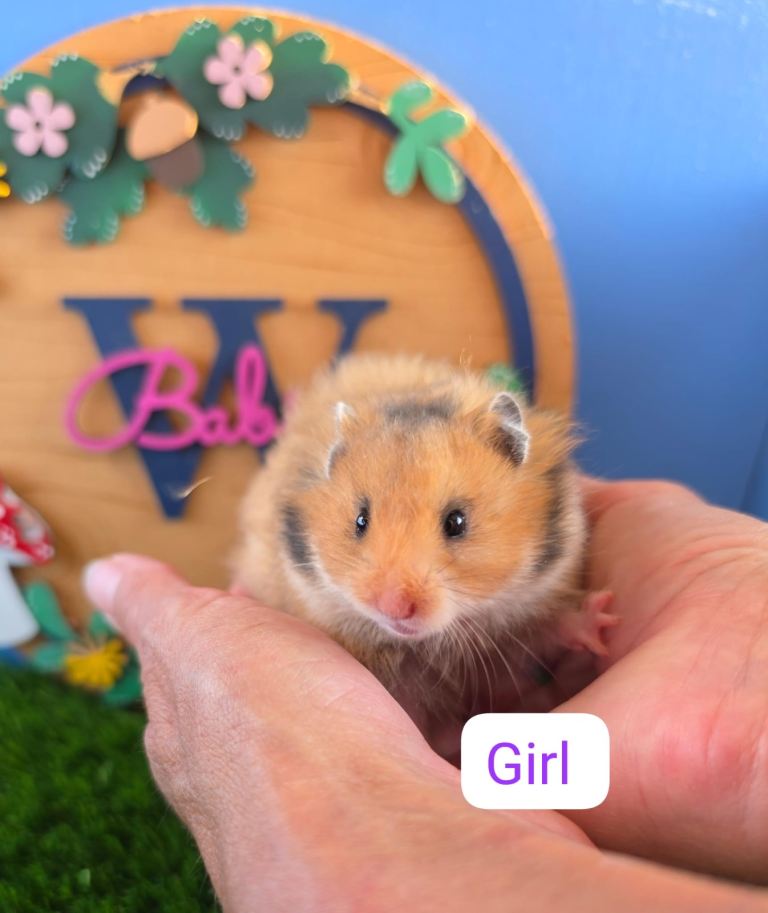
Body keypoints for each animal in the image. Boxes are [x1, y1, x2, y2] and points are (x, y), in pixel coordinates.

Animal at [232, 354, 614, 743]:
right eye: (360, 520)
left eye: (456, 522)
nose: (393, 608)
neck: (430, 642)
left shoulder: (532, 607)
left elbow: (555, 626)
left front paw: (604, 618)